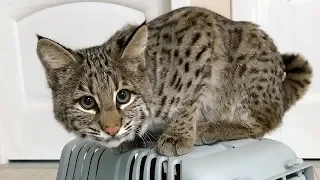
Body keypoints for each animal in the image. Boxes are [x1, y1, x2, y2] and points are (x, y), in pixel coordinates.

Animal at [35, 7, 312, 156]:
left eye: (123, 96)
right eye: (87, 102)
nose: (112, 130)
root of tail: (280, 92)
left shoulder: (201, 33)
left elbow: (188, 99)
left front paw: (178, 136)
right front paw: (131, 138)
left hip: (251, 56)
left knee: (263, 124)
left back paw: (210, 128)